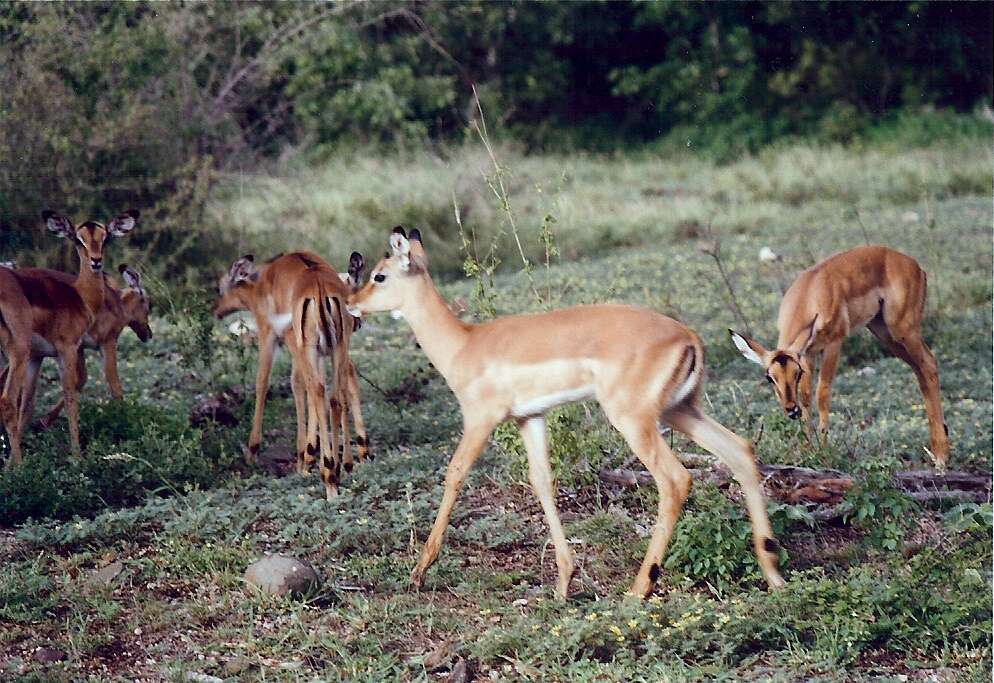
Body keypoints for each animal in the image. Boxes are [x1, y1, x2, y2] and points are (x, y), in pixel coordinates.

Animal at [348, 228, 784, 600]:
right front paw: (564, 580)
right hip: (681, 410)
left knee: (675, 479)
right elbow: (542, 482)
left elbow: (454, 474)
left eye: (380, 275)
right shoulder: (530, 418)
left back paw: (639, 588)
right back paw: (773, 574)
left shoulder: (480, 419)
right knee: (741, 451)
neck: (463, 345)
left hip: (635, 420)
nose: (352, 304)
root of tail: (689, 337)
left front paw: (419, 571)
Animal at [728, 246, 944, 470]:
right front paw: (807, 450)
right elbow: (806, 397)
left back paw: (941, 459)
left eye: (796, 373)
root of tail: (914, 265)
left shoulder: (833, 344)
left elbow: (822, 395)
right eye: (770, 377)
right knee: (920, 371)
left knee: (929, 364)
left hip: (904, 330)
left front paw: (823, 451)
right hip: (885, 334)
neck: (810, 294)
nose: (791, 410)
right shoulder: (808, 353)